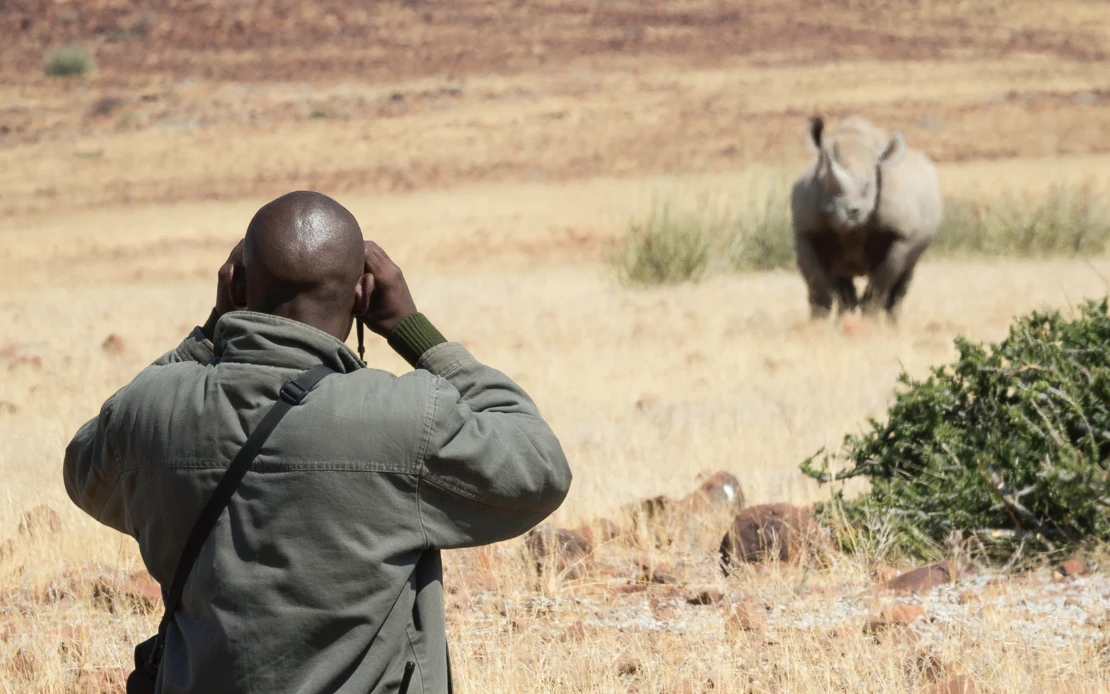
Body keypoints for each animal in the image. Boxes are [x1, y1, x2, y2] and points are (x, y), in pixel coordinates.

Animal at [790, 115, 943, 321]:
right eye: (823, 181)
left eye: (868, 185)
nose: (846, 212)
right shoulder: (805, 232)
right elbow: (816, 284)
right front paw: (817, 323)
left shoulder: (900, 235)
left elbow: (882, 279)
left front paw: (870, 317)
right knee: (840, 279)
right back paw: (845, 320)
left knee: (904, 277)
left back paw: (891, 324)